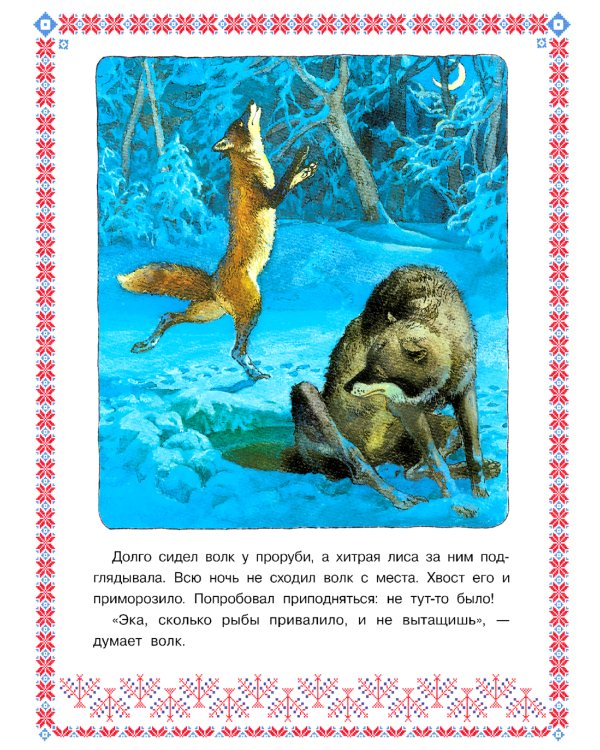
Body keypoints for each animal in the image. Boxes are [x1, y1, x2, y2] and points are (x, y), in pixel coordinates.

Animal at [117, 101, 317, 380]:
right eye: (241, 122)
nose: (251, 102)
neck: (251, 166)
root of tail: (213, 282)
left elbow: (294, 178)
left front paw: (307, 169)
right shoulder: (270, 198)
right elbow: (287, 178)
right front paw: (301, 154)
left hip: (206, 313)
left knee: (168, 315)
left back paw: (147, 344)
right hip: (250, 308)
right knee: (235, 351)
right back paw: (254, 372)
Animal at [284, 265, 499, 509]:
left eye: (377, 371)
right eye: (367, 363)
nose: (346, 387)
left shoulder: (465, 393)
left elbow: (473, 453)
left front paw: (480, 493)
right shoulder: (406, 409)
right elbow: (437, 464)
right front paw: (459, 502)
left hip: (447, 429)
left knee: (411, 471)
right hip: (306, 393)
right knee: (360, 467)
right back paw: (404, 498)